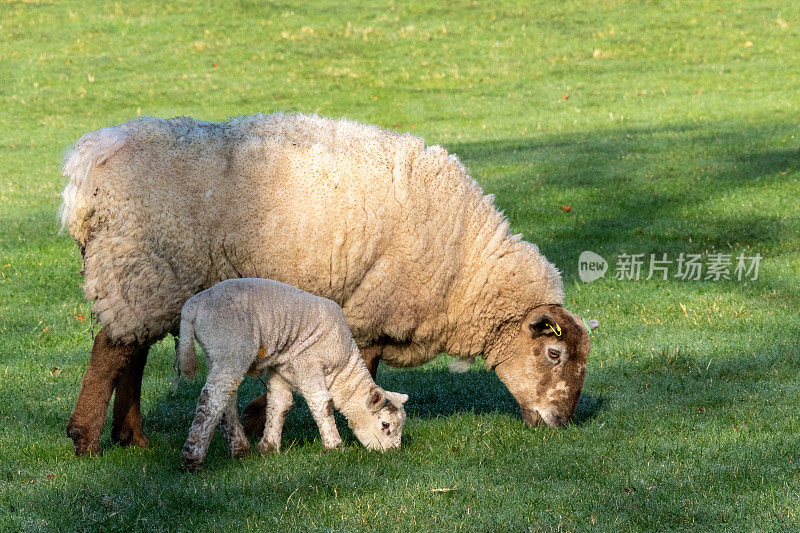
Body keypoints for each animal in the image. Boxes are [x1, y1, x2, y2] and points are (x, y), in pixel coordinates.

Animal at [176, 278, 410, 470]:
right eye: (385, 425)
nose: (392, 453)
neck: (342, 371)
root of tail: (193, 305)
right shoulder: (308, 363)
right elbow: (322, 403)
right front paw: (335, 446)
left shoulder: (281, 368)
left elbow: (279, 404)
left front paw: (269, 448)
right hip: (230, 345)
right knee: (212, 398)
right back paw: (193, 458)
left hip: (215, 353)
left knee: (226, 399)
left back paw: (240, 450)